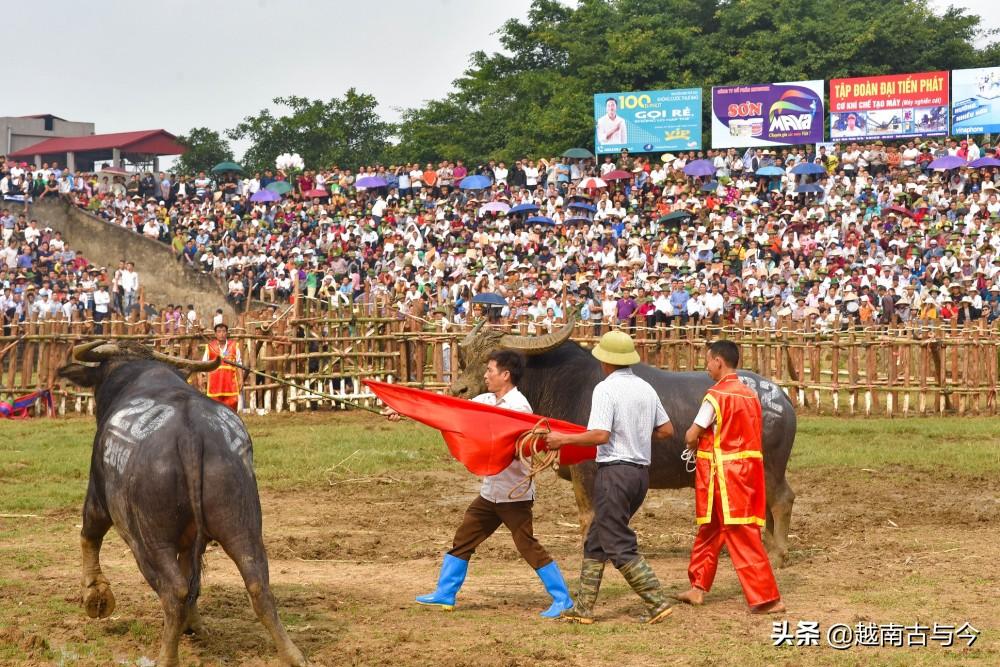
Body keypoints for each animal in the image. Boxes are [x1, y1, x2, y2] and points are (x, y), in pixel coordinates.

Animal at [58, 342, 306, 667]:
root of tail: (191, 434)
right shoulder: (193, 539)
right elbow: (193, 574)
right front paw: (194, 623)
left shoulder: (97, 495)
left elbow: (89, 535)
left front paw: (95, 596)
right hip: (243, 524)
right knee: (256, 584)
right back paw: (292, 654)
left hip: (149, 540)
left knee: (173, 590)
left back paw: (167, 656)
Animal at [452, 320, 796, 568]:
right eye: (466, 358)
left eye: (492, 360)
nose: (459, 389)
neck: (562, 384)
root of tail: (782, 398)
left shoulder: (586, 470)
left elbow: (588, 516)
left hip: (768, 466)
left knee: (782, 499)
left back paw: (777, 554)